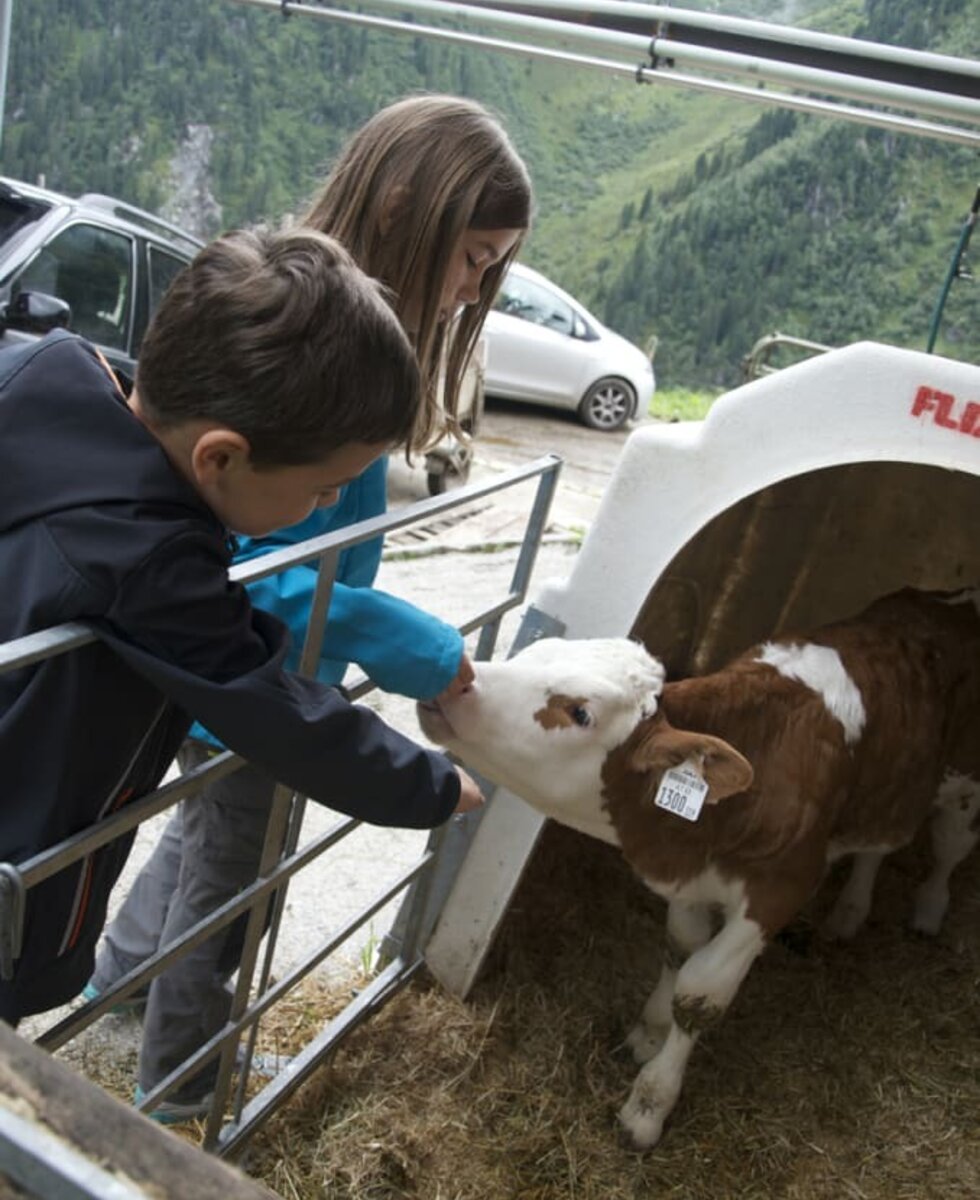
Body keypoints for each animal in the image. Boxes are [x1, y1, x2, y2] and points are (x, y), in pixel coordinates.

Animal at [417, 588, 978, 1142]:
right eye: (532, 653)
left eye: (579, 712)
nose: (455, 680)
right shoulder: (691, 877)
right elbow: (680, 946)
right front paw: (649, 1031)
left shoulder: (779, 889)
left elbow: (699, 993)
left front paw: (649, 1105)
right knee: (877, 846)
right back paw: (850, 912)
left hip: (964, 779)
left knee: (951, 842)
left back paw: (928, 910)